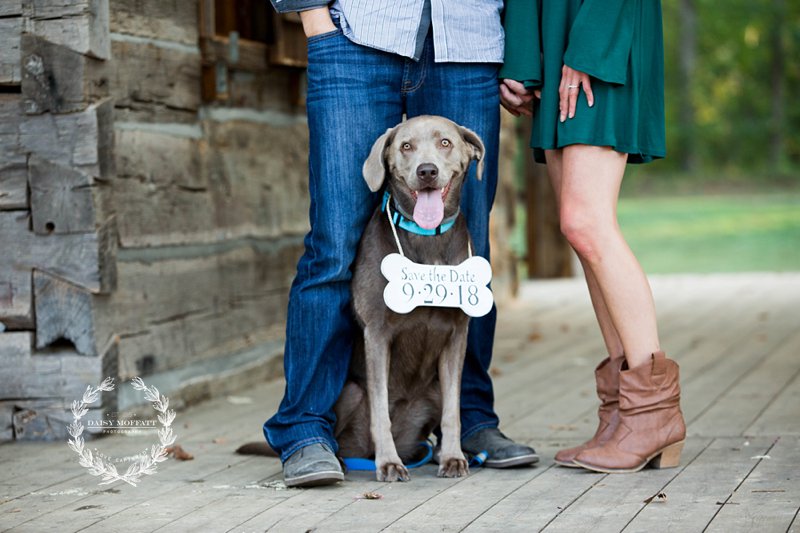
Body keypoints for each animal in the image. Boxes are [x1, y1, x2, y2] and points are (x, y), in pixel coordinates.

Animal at [332, 114, 488, 480]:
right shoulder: (376, 333)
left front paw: (453, 457)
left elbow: (454, 411)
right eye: (406, 146)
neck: (427, 238)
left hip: (432, 391)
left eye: (445, 142)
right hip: (350, 390)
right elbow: (379, 409)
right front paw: (389, 463)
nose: (427, 170)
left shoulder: (457, 334)